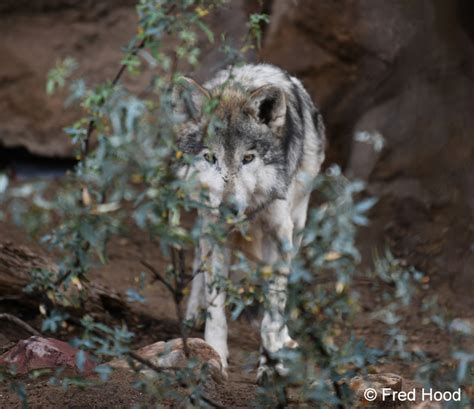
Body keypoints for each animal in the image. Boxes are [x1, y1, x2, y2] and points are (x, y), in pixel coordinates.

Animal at [175, 63, 326, 380]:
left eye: (248, 158)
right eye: (210, 157)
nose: (229, 208)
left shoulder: (280, 234)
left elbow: (274, 306)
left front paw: (271, 361)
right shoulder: (215, 230)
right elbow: (216, 305)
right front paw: (216, 353)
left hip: (298, 223)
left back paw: (284, 338)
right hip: (204, 219)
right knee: (198, 261)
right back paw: (194, 310)